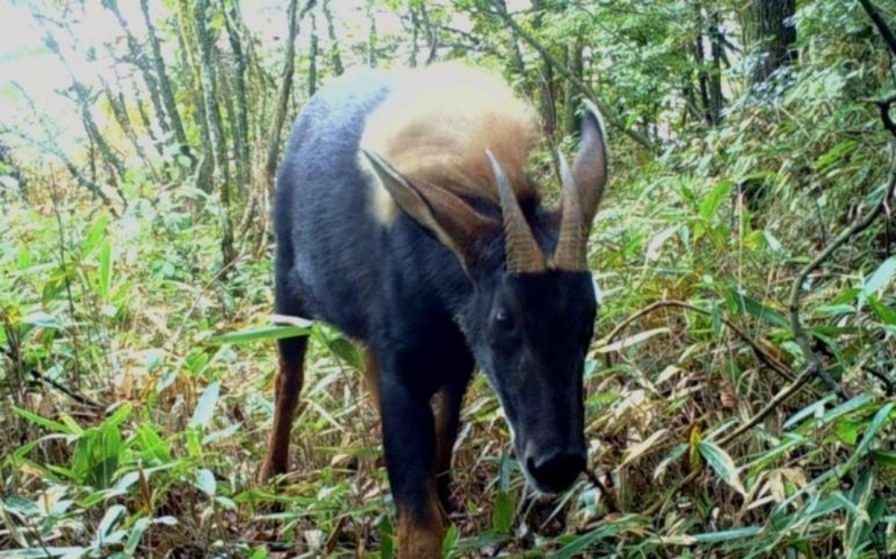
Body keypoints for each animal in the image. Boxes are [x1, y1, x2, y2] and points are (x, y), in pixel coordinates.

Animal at [260, 63, 608, 556]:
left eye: (589, 314)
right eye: (504, 317)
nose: (556, 463)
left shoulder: (457, 358)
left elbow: (443, 439)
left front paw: (446, 500)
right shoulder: (402, 370)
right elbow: (420, 529)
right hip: (287, 287)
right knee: (288, 377)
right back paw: (270, 485)